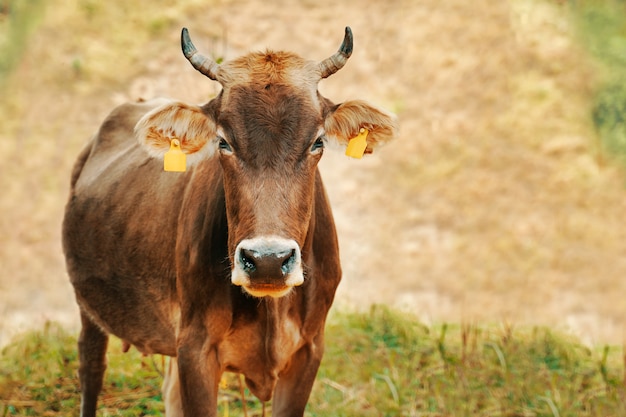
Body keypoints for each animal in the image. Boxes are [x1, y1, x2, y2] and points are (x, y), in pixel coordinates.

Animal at [62, 26, 394, 416]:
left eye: (317, 142)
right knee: (91, 367)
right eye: (223, 142)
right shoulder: (196, 348)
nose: (268, 261)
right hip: (88, 305)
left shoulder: (309, 348)